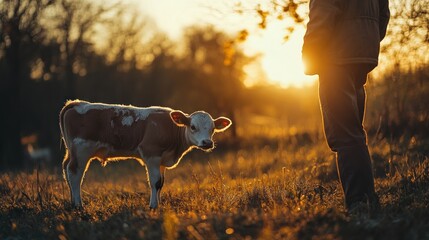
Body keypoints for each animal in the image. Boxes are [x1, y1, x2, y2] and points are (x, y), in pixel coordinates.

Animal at [59, 99, 231, 208]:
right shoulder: (151, 154)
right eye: (193, 127)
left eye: (212, 129)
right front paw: (153, 206)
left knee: (66, 170)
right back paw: (78, 205)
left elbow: (162, 183)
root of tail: (77, 103)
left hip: (72, 151)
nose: (207, 143)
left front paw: (159, 203)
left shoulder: (162, 160)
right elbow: (155, 182)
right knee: (74, 174)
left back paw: (72, 202)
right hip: (81, 151)